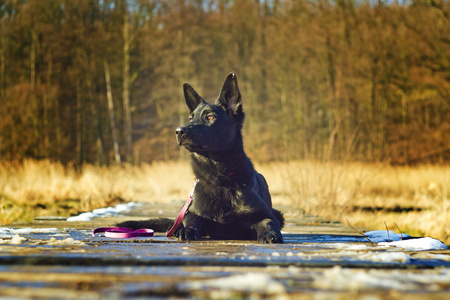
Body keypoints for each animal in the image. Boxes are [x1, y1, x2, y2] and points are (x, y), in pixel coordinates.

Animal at [118, 72, 284, 244]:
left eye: (210, 117)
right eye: (191, 118)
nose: (178, 131)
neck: (220, 178)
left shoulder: (266, 215)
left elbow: (268, 222)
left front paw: (269, 233)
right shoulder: (193, 212)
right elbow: (191, 219)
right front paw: (187, 230)